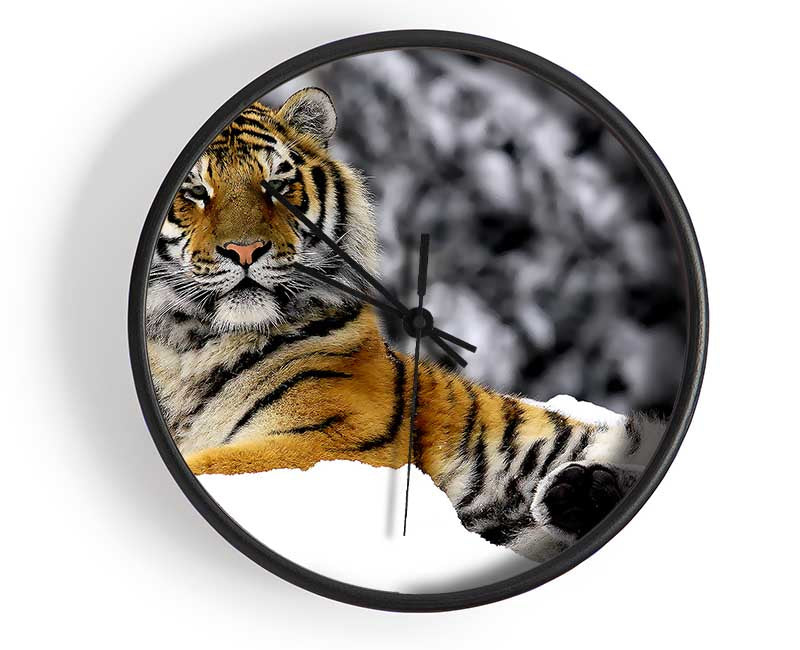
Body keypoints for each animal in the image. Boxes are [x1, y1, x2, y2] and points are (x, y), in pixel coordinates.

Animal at [146, 87, 663, 561]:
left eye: (276, 185)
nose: (246, 250)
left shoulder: (334, 435)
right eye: (196, 192)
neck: (189, 344)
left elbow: (215, 464)